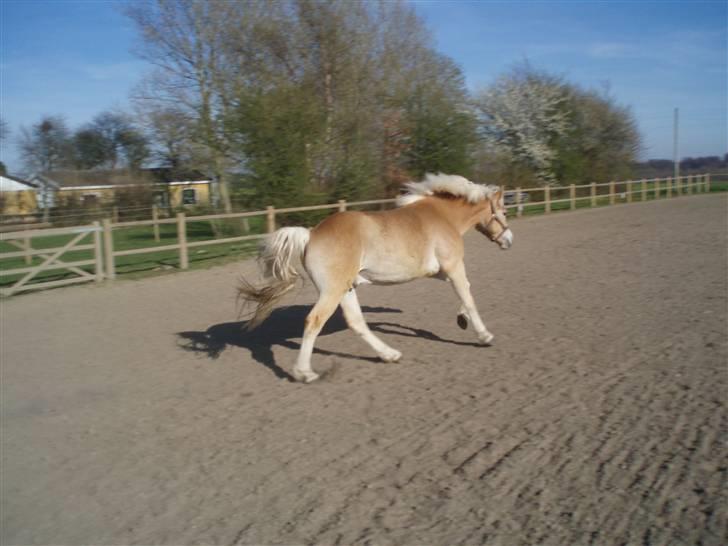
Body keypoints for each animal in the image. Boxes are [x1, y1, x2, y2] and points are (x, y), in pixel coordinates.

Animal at [239, 172, 512, 380]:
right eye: (505, 211)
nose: (509, 240)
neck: (443, 217)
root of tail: (311, 234)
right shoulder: (453, 266)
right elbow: (468, 296)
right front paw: (484, 336)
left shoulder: (439, 272)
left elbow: (466, 292)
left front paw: (462, 319)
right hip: (333, 291)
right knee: (314, 321)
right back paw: (304, 373)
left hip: (346, 289)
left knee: (356, 322)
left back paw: (389, 355)